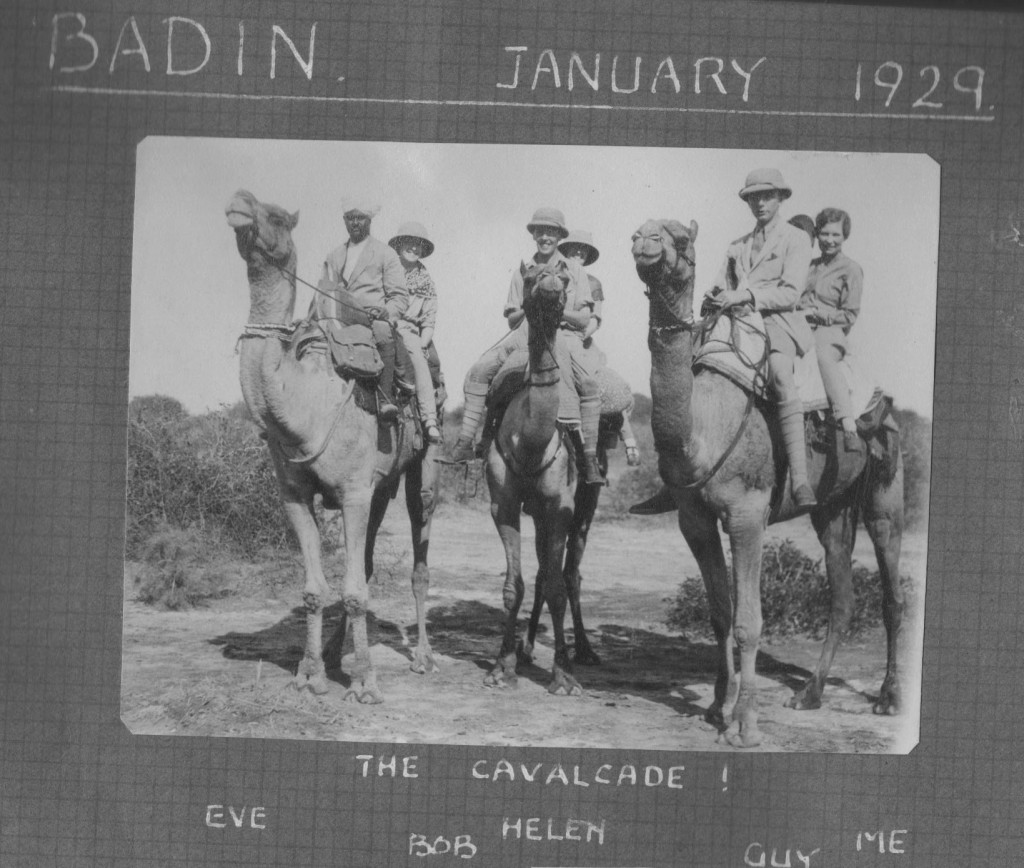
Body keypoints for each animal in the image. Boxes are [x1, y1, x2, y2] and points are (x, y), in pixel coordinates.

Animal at [226, 191, 438, 704]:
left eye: (276, 215)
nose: (239, 202)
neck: (308, 405)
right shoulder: (296, 493)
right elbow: (316, 588)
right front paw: (311, 673)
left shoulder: (355, 491)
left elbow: (356, 591)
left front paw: (365, 684)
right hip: (380, 487)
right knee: (366, 562)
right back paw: (337, 650)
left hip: (421, 469)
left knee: (419, 551)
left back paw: (422, 657)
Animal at [630, 220, 905, 749]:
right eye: (642, 230)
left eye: (680, 238)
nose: (643, 240)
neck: (704, 426)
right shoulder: (694, 518)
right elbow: (719, 613)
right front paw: (716, 707)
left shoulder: (748, 515)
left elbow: (749, 621)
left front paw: (745, 726)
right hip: (832, 506)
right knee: (842, 595)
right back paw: (810, 694)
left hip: (887, 490)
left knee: (891, 592)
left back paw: (888, 698)